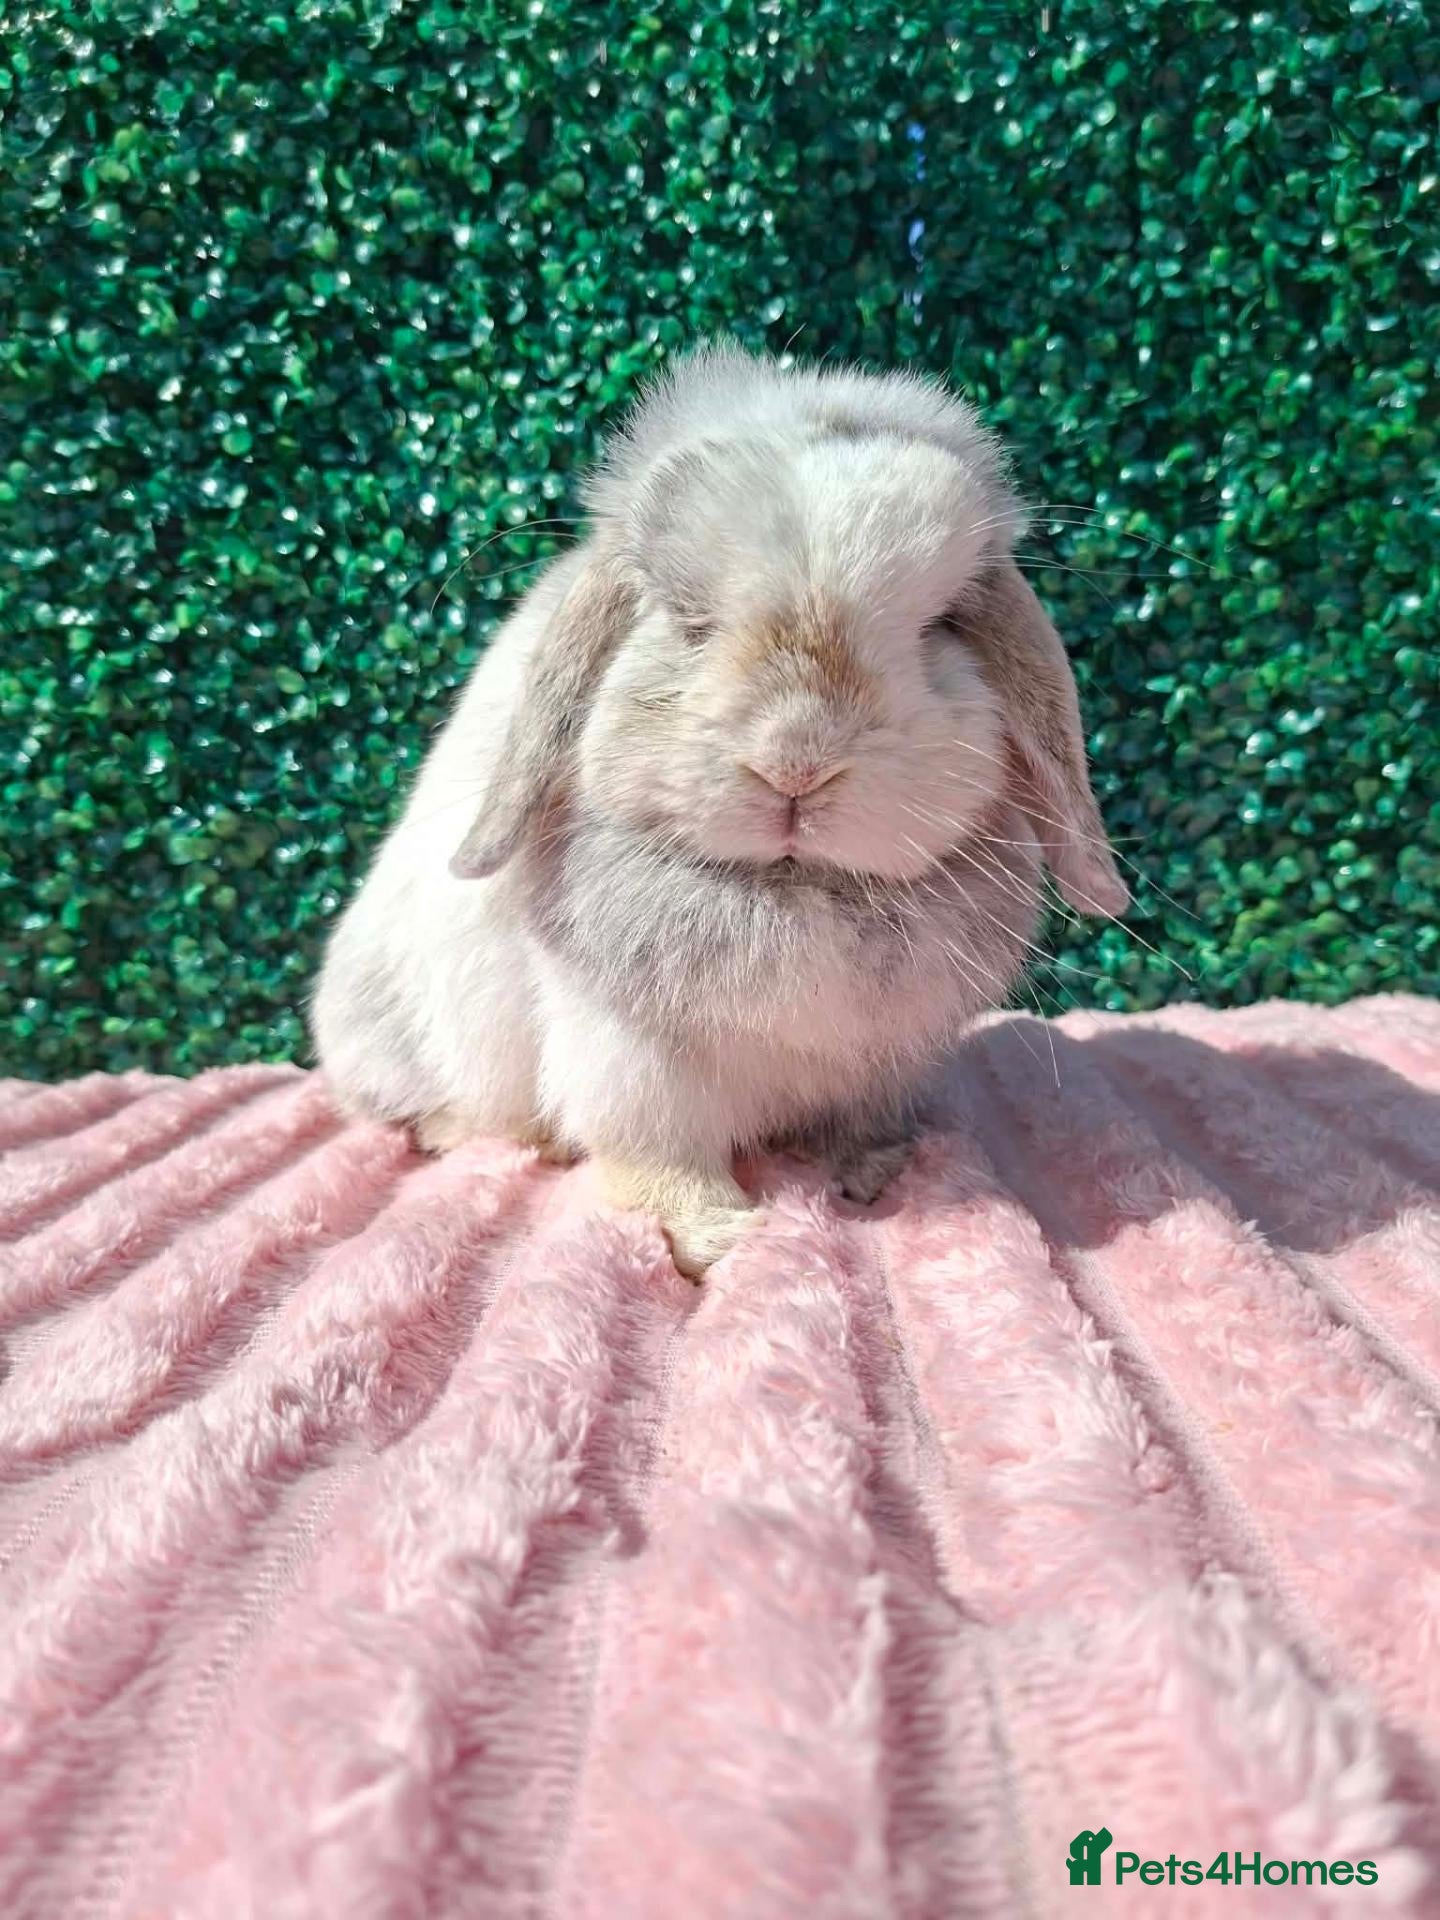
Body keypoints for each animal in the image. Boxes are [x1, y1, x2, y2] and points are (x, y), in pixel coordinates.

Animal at [310, 343, 1129, 1275]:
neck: (797, 891)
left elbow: (861, 1129)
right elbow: (660, 1161)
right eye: (687, 620)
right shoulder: (632, 1065)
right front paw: (723, 1237)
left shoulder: (886, 1066)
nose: (796, 761)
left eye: (940, 627)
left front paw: (871, 1174)